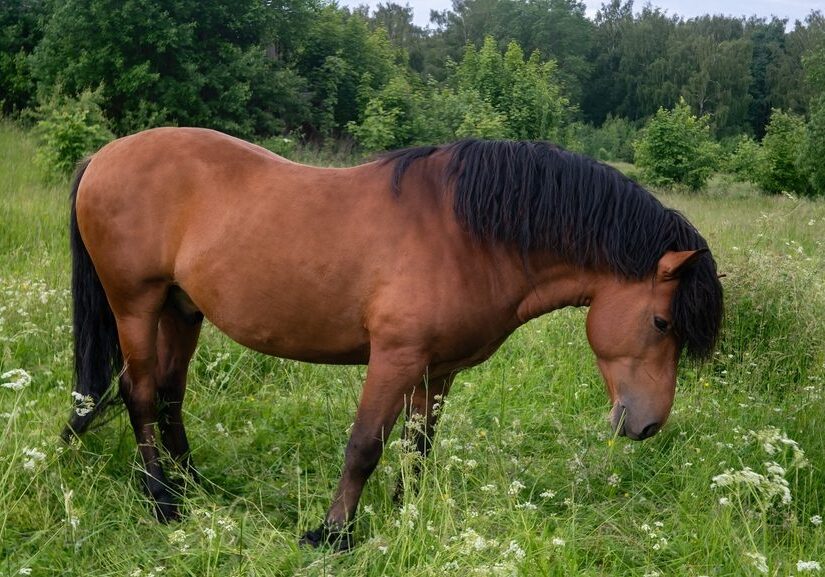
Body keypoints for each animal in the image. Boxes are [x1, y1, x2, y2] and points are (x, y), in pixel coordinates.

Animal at [63, 128, 723, 549]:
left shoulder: (439, 370)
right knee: (140, 393)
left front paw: (409, 516)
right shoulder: (395, 359)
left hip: (182, 310)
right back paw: (163, 503)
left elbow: (417, 447)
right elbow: (364, 446)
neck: (468, 234)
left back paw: (195, 486)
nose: (647, 425)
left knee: (169, 394)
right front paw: (332, 534)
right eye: (663, 323)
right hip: (136, 305)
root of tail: (105, 154)